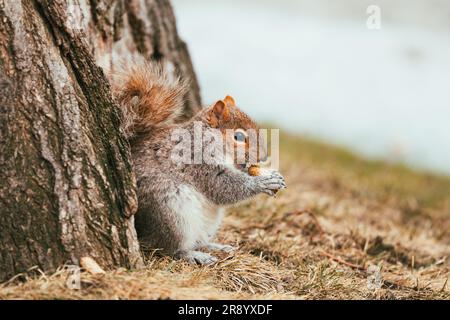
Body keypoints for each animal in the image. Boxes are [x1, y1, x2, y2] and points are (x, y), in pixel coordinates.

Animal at [114, 59, 286, 264]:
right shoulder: (197, 159)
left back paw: (214, 246)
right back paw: (192, 255)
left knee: (198, 241)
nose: (263, 157)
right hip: (170, 212)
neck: (205, 136)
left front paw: (273, 176)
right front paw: (263, 182)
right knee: (166, 248)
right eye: (238, 137)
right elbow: (223, 186)